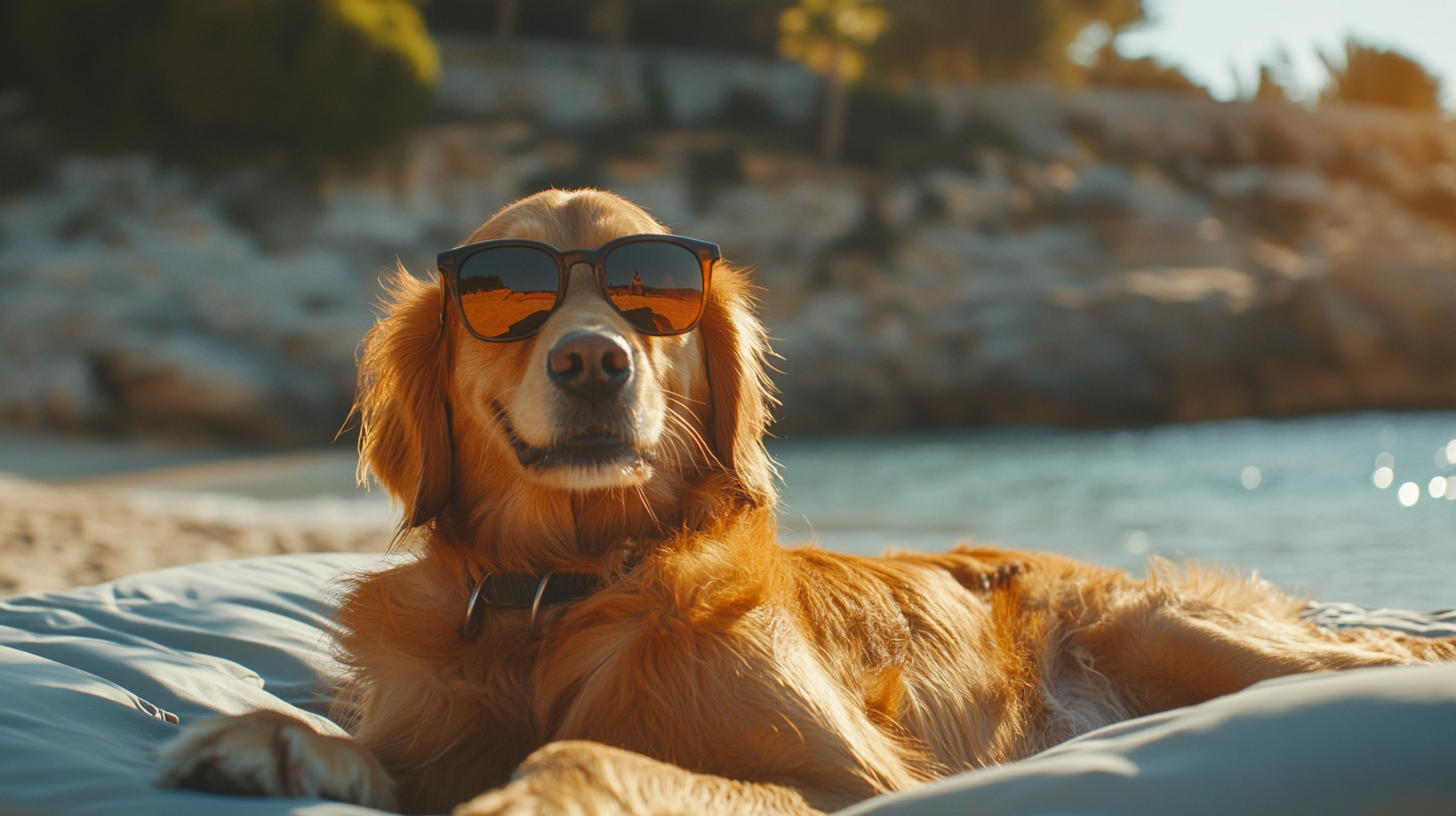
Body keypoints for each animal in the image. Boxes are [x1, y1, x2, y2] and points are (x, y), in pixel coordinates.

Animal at [153, 189, 1450, 816]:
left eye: (651, 297)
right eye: (507, 299)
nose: (592, 361)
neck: (562, 590)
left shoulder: (843, 784)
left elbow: (597, 756)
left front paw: (533, 793)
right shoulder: (428, 729)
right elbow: (373, 752)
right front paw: (275, 739)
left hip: (1191, 638)